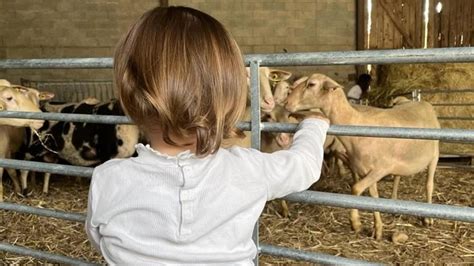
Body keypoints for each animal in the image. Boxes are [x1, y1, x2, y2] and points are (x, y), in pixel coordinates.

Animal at [284, 74, 438, 240]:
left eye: (311, 84)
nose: (286, 103)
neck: (357, 122)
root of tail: (422, 102)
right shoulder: (366, 171)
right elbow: (373, 197)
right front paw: (378, 229)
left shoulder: (381, 169)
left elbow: (356, 188)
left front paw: (355, 223)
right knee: (397, 178)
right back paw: (393, 202)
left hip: (434, 156)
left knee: (429, 184)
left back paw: (428, 218)